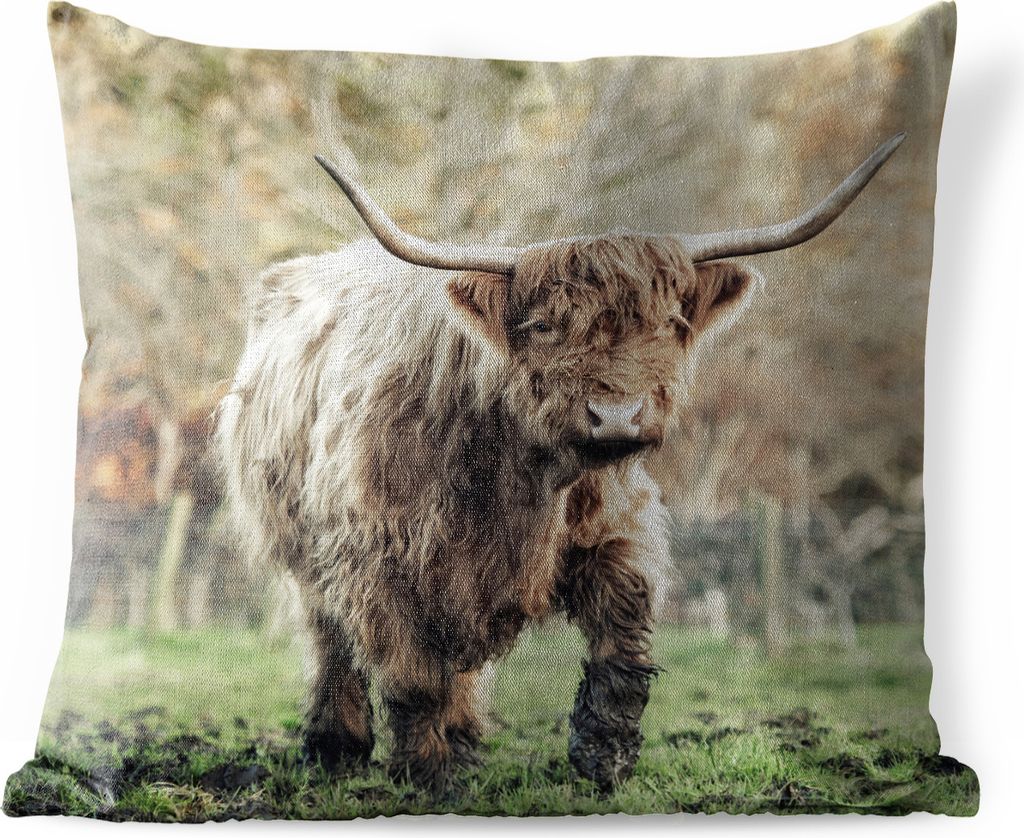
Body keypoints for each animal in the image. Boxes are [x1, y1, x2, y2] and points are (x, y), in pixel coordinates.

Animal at [216, 133, 904, 793]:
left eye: (671, 323)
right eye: (545, 325)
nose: (617, 415)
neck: (512, 473)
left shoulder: (613, 525)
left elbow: (623, 640)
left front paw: (603, 757)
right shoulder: (378, 558)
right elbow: (413, 676)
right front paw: (431, 777)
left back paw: (463, 739)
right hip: (302, 547)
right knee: (332, 641)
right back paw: (339, 749)